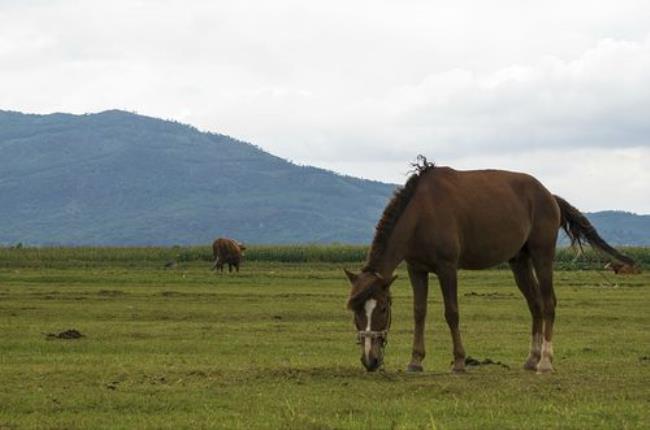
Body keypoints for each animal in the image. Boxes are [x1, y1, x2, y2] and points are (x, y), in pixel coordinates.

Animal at [344, 158, 632, 372]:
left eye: (382, 308)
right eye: (356, 311)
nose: (370, 360)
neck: (421, 213)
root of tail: (549, 196)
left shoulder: (447, 268)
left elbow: (452, 312)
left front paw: (460, 361)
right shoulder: (417, 269)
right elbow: (419, 312)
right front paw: (415, 361)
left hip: (542, 256)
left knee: (549, 303)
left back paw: (545, 361)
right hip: (519, 262)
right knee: (536, 305)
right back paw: (531, 358)